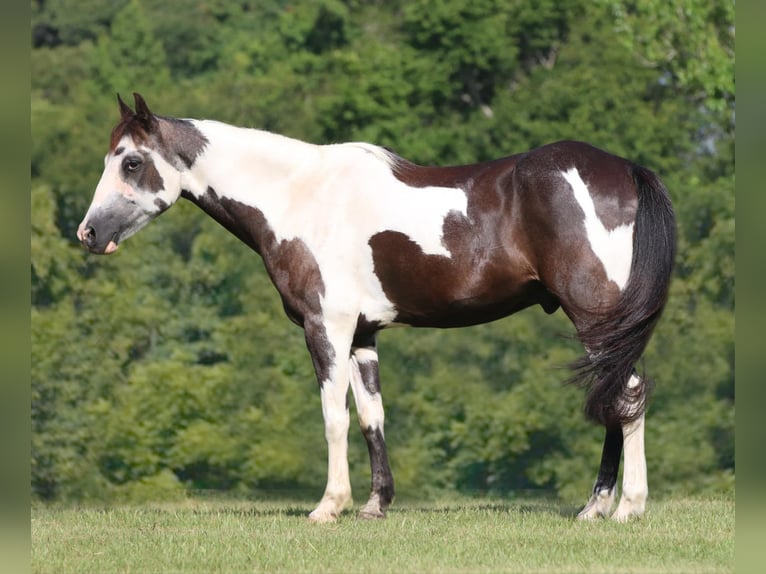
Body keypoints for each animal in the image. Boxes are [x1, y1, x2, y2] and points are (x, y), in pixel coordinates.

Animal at [77, 93, 675, 523]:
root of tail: (625, 169)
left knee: (627, 396)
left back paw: (626, 507)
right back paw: (594, 506)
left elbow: (333, 416)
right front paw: (374, 505)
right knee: (616, 398)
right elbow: (371, 417)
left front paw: (328, 507)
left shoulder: (326, 328)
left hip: (595, 315)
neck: (299, 196)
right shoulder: (363, 334)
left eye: (131, 162)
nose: (88, 234)